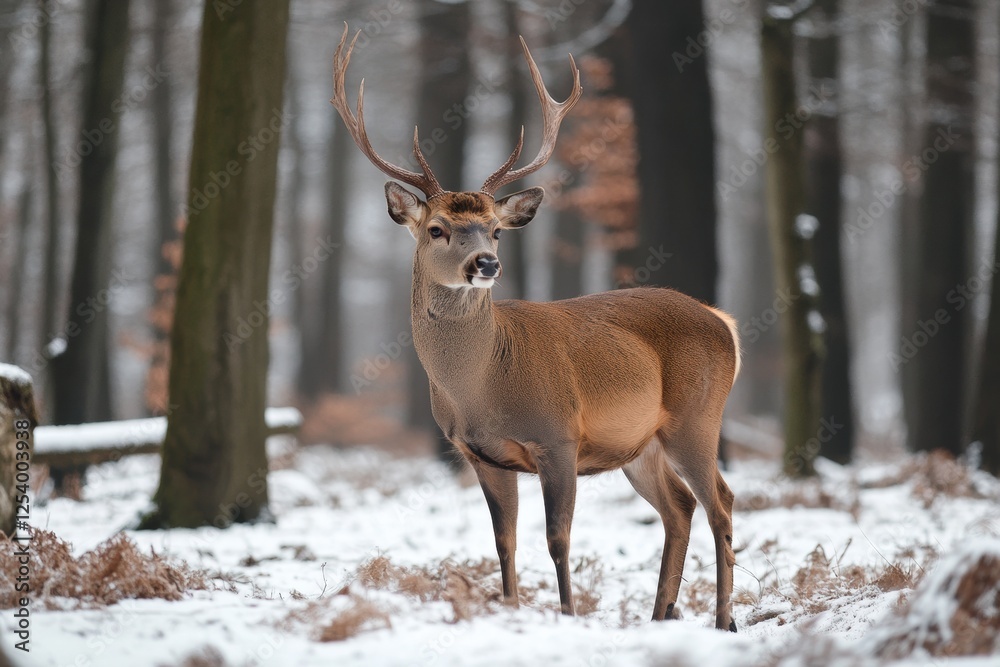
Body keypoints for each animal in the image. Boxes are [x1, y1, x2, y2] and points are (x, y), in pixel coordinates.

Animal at [332, 24, 740, 632]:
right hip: (641, 444)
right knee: (681, 507)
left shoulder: (558, 437)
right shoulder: (481, 455)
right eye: (436, 228)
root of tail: (722, 321)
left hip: (697, 415)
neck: (481, 387)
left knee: (722, 503)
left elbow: (558, 538)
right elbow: (505, 542)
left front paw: (567, 614)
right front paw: (510, 608)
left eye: (496, 230)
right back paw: (662, 613)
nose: (486, 264)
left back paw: (723, 620)